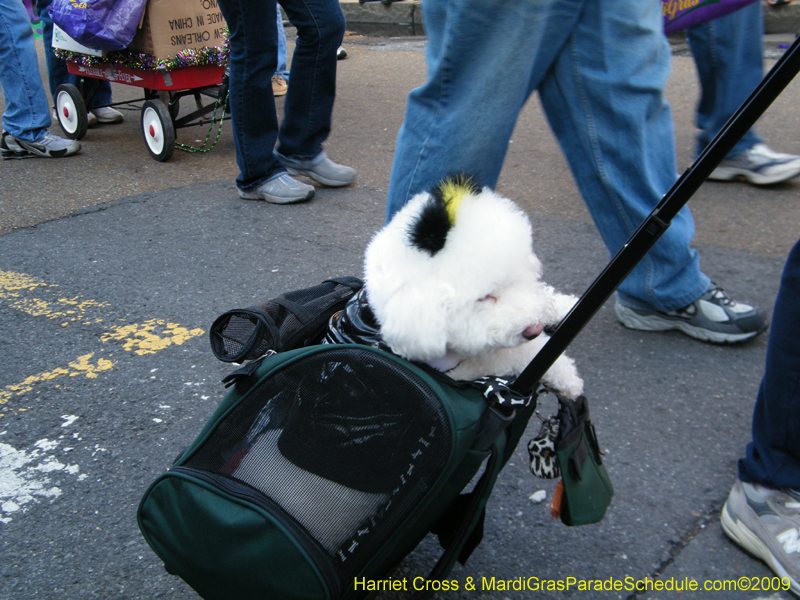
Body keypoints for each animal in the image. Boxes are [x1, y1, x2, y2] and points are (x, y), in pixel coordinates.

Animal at [362, 179, 580, 404]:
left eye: (518, 277)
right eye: (483, 298)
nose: (534, 329)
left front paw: (568, 305)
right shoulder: (466, 370)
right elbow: (520, 354)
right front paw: (566, 377)